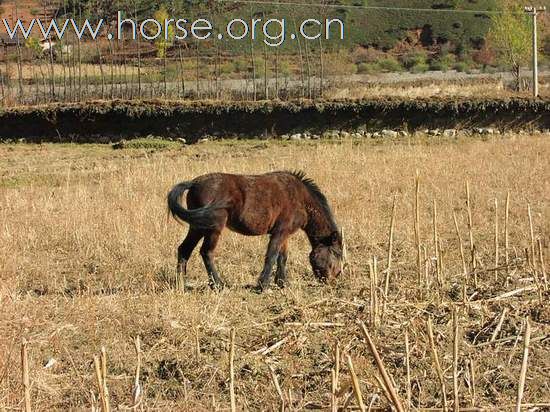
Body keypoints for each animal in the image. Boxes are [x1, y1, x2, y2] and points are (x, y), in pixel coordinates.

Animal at [167, 171, 344, 290]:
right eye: (336, 253)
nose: (334, 279)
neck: (300, 198)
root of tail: (194, 182)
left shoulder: (285, 234)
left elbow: (282, 257)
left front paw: (282, 283)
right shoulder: (279, 232)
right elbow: (271, 256)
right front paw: (263, 284)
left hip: (197, 227)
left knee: (184, 250)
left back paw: (181, 283)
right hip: (213, 229)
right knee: (206, 252)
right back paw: (218, 284)